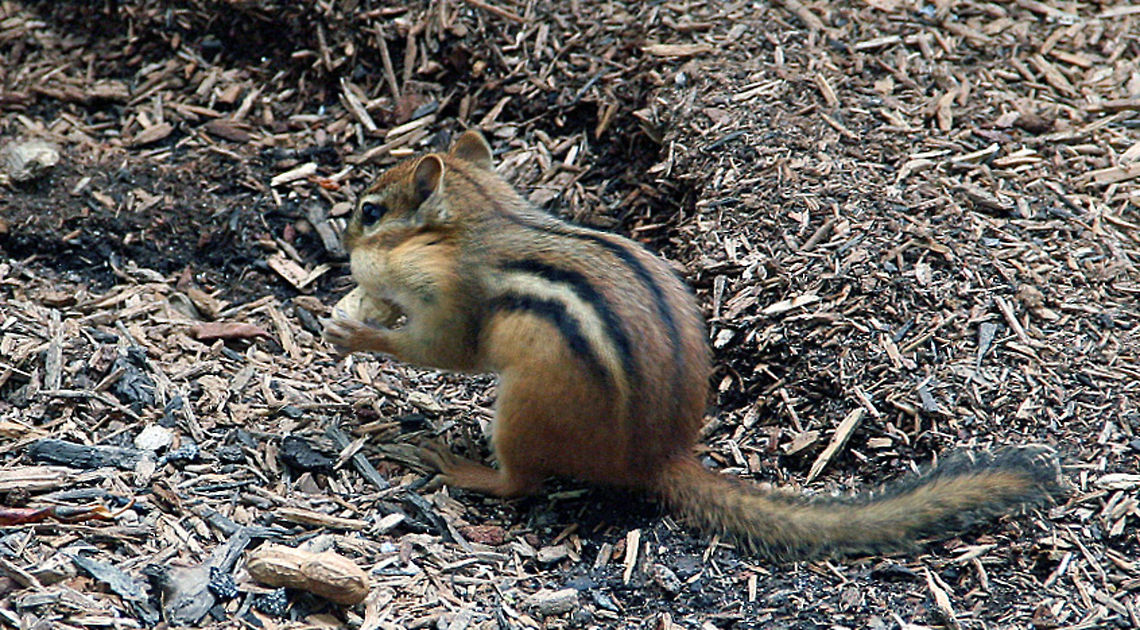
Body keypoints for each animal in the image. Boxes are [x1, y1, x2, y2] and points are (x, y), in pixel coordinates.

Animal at [322, 129, 1062, 560]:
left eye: (370, 211)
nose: (342, 238)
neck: (478, 220)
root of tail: (660, 456)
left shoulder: (459, 301)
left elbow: (443, 352)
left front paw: (353, 328)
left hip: (523, 409)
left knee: (520, 482)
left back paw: (454, 464)